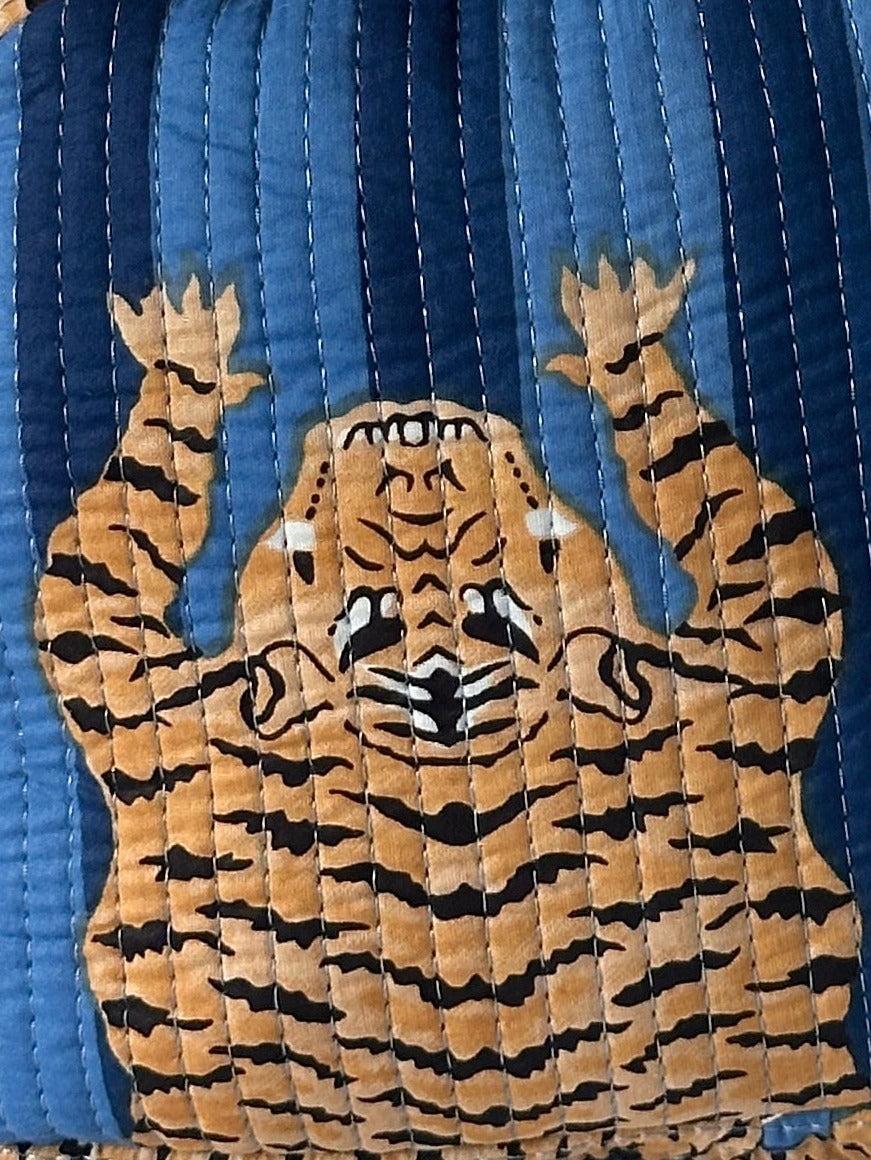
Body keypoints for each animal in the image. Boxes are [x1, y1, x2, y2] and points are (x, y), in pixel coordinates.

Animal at [34, 253, 869, 1160]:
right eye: (311, 562)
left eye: (533, 550)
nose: (407, 429)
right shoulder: (166, 718)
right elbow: (98, 562)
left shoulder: (730, 681)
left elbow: (754, 533)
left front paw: (621, 340)